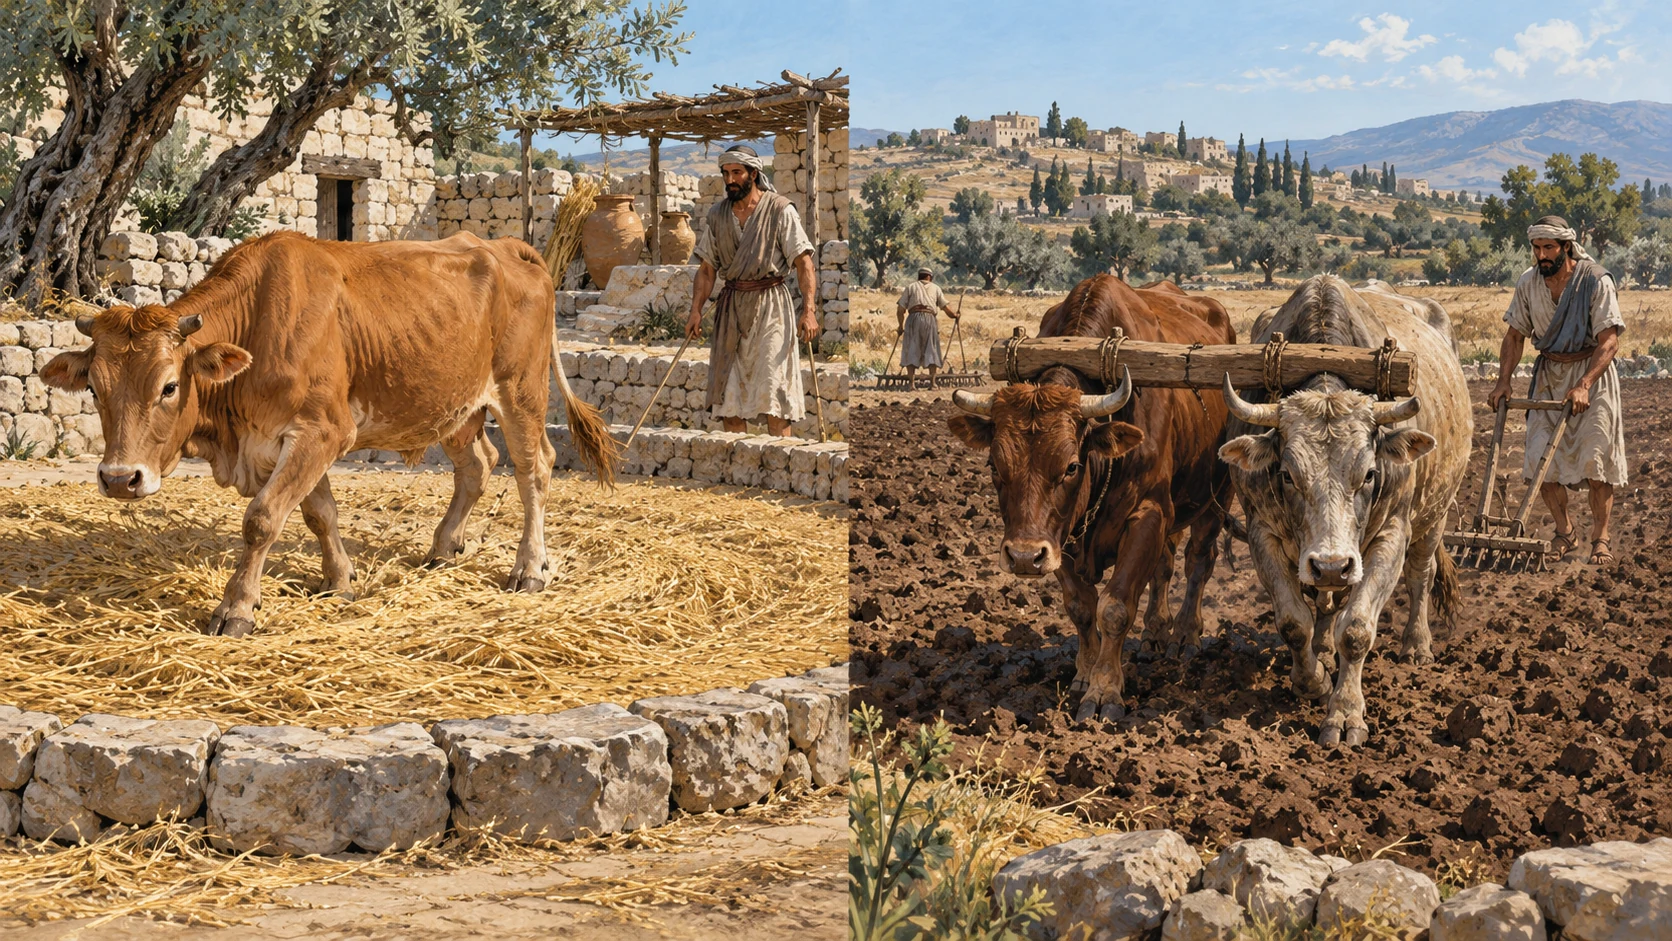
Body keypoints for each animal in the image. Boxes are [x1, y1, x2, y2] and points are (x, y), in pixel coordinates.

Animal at [40, 231, 617, 638]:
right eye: (93, 387)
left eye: (169, 386)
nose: (120, 479)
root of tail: (504, 247)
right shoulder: (295, 439)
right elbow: (319, 513)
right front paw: (338, 580)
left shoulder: (321, 430)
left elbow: (262, 520)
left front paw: (236, 608)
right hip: (456, 406)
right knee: (478, 466)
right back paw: (443, 546)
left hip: (521, 392)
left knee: (534, 468)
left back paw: (530, 568)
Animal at [947, 275, 1236, 722]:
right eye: (994, 465)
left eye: (1070, 466)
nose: (1024, 557)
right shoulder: (1061, 537)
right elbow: (1082, 607)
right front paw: (1084, 675)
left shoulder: (1149, 514)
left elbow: (1114, 607)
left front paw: (1104, 691)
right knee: (1165, 566)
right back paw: (1156, 631)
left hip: (1216, 496)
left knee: (1198, 563)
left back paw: (1185, 635)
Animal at [1217, 274, 1470, 748]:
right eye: (1287, 474)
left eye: (1369, 473)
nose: (1332, 564)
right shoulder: (1263, 533)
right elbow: (1294, 621)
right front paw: (1312, 678)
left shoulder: (1391, 534)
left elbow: (1356, 629)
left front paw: (1346, 712)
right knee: (1324, 601)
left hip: (1435, 513)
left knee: (1421, 575)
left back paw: (1416, 645)